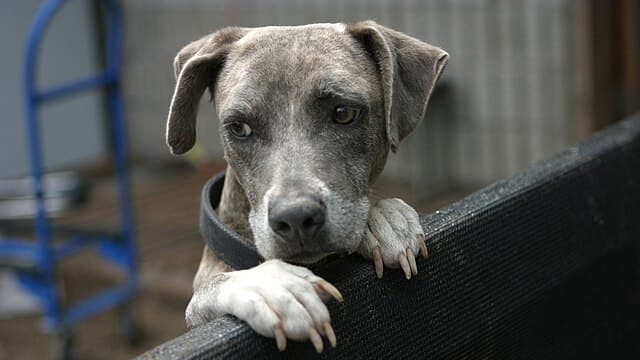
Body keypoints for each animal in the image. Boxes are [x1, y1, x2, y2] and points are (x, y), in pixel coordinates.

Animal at [165, 21, 450, 352]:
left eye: (343, 113)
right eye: (239, 127)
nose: (296, 218)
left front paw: (383, 220)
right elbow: (212, 288)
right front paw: (270, 287)